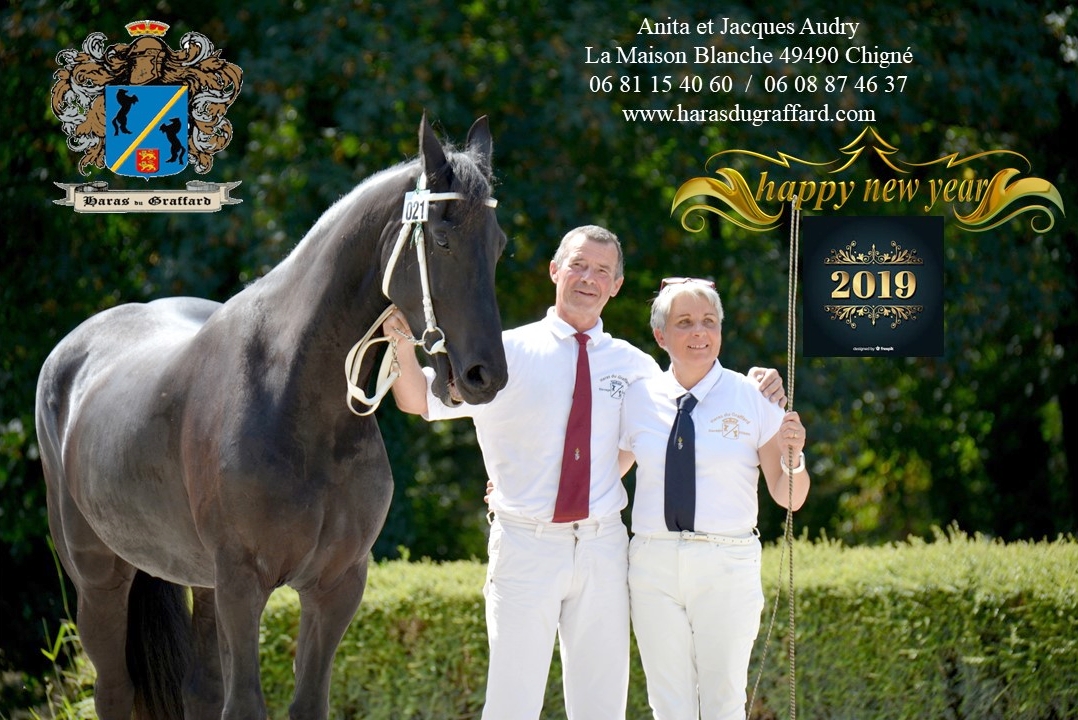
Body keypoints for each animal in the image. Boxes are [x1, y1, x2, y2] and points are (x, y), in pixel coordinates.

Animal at [35, 115, 509, 720]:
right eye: (443, 239)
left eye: (497, 245)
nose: (484, 375)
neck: (302, 408)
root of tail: (71, 351)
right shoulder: (243, 585)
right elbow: (245, 704)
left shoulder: (335, 587)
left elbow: (305, 702)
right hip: (100, 578)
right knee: (113, 690)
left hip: (200, 582)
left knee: (199, 688)